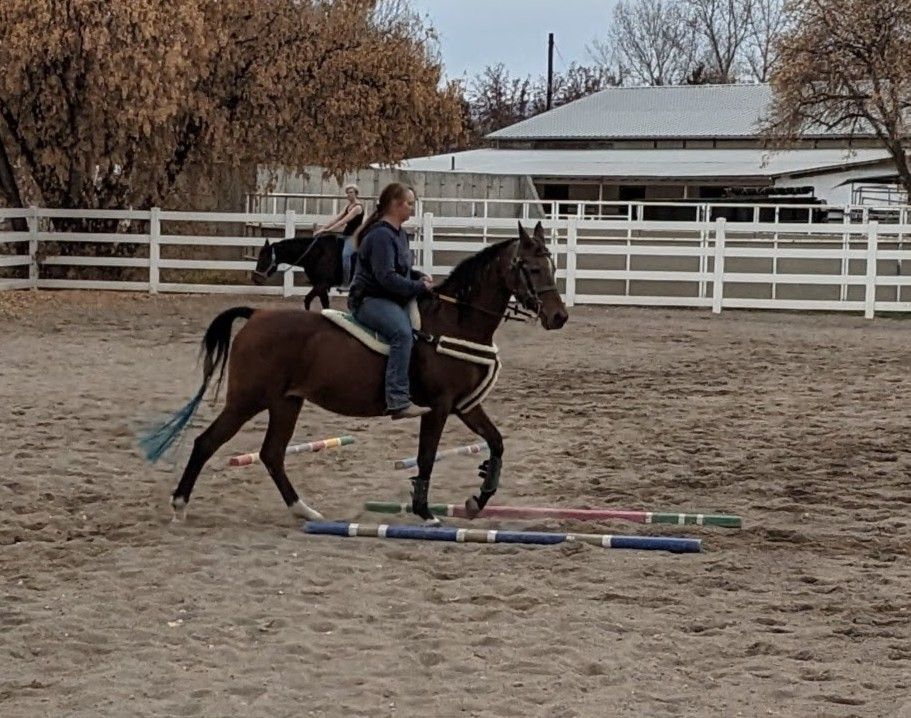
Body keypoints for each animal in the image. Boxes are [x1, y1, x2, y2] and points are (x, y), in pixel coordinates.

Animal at [142, 221, 568, 524]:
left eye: (552, 264)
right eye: (531, 267)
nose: (559, 316)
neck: (453, 322)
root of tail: (257, 314)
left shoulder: (464, 405)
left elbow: (496, 443)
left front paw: (478, 499)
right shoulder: (439, 407)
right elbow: (427, 457)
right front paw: (424, 511)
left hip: (285, 403)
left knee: (272, 454)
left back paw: (303, 511)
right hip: (247, 401)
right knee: (207, 443)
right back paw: (180, 504)